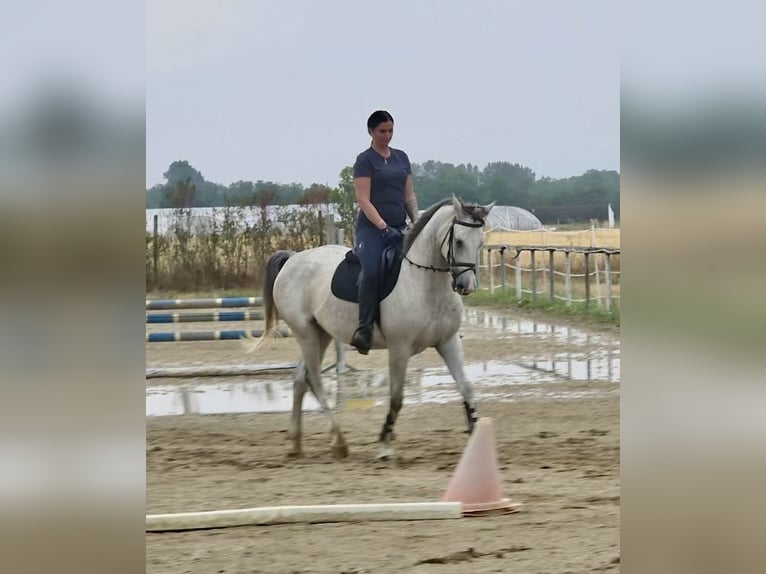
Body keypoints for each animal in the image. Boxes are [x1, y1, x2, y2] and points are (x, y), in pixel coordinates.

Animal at [253, 196, 494, 459]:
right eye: (459, 241)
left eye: (481, 243)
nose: (466, 285)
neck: (424, 281)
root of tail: (292, 259)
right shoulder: (400, 348)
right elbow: (397, 398)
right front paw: (385, 442)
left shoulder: (448, 342)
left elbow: (467, 388)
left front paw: (475, 437)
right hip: (305, 333)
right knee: (313, 379)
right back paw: (338, 441)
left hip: (321, 334)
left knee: (300, 378)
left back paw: (296, 443)